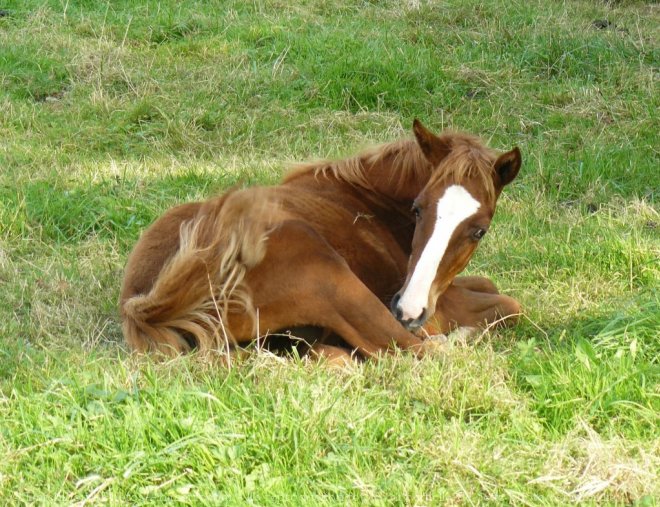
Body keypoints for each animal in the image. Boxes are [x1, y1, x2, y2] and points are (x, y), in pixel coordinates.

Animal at [118, 120, 520, 364]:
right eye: (418, 209)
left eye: (479, 230)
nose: (409, 310)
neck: (370, 201)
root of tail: (147, 302)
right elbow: (508, 304)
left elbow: (487, 283)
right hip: (333, 280)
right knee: (414, 351)